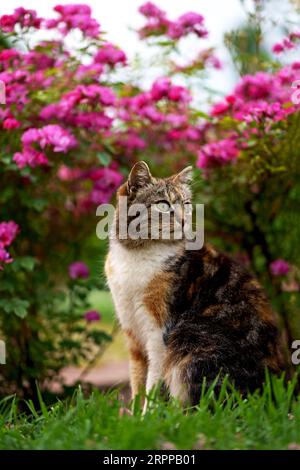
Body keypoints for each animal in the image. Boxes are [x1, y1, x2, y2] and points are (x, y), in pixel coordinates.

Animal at [104, 161, 282, 404]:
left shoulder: (159, 333)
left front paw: (149, 413)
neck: (138, 254)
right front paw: (134, 414)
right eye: (163, 204)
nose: (183, 220)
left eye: (186, 204)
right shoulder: (132, 332)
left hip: (190, 341)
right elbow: (138, 382)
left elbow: (154, 385)